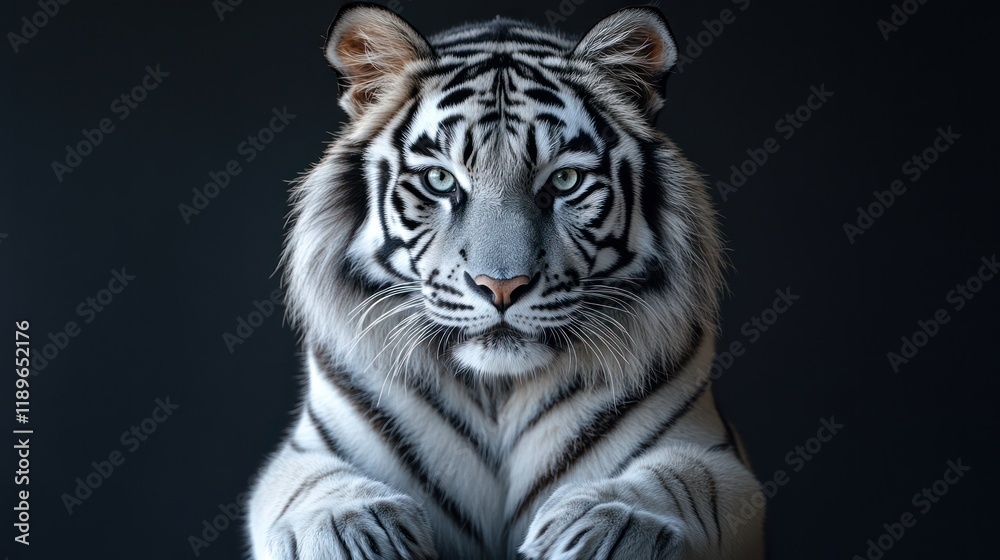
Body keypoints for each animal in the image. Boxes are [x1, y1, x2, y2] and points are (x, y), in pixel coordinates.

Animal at [247, 4, 765, 559]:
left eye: (564, 180)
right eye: (440, 181)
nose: (501, 288)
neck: (498, 389)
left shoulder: (718, 457)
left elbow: (681, 479)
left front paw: (610, 525)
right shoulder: (304, 450)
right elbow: (309, 484)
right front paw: (351, 530)